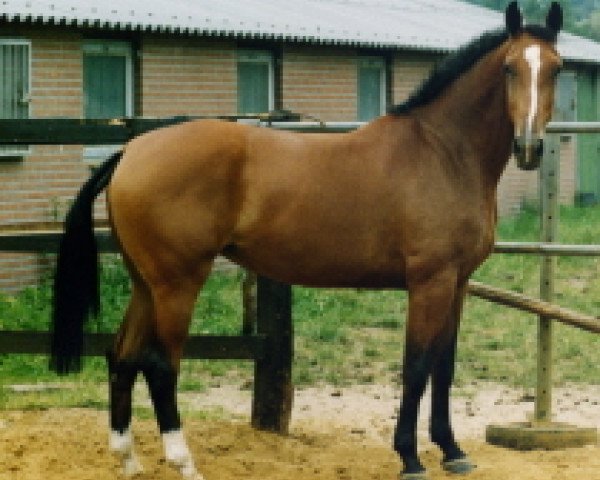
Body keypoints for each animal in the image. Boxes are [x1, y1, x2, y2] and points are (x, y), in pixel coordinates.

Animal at [50, 3, 564, 480]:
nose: (529, 147)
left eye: (556, 68)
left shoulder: (457, 284)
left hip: (146, 284)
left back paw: (128, 460)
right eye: (509, 68)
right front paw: (411, 457)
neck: (442, 151)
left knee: (122, 356)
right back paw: (184, 463)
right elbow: (417, 366)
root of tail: (131, 151)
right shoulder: (429, 282)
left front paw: (453, 452)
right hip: (177, 285)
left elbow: (444, 365)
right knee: (160, 366)